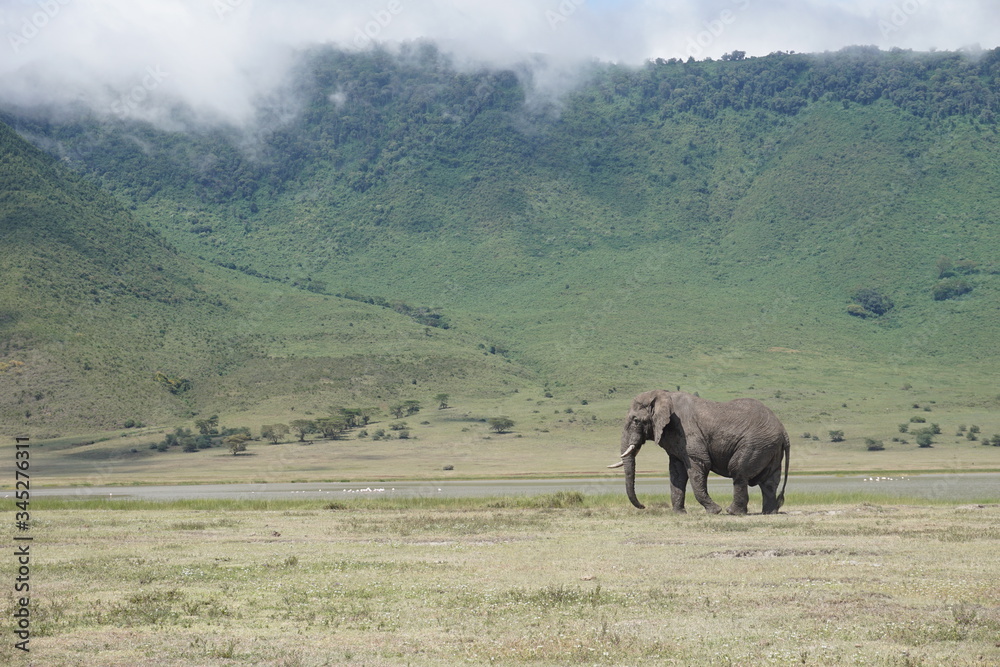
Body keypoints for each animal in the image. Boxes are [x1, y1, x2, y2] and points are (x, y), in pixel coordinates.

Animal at [608, 390, 789, 514]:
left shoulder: (687, 432)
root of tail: (783, 431)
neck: (663, 396)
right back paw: (768, 512)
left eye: (636, 420)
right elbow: (677, 473)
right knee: (769, 481)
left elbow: (698, 467)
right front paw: (679, 513)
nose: (643, 506)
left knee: (738, 472)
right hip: (770, 447)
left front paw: (715, 511)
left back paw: (732, 512)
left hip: (755, 444)